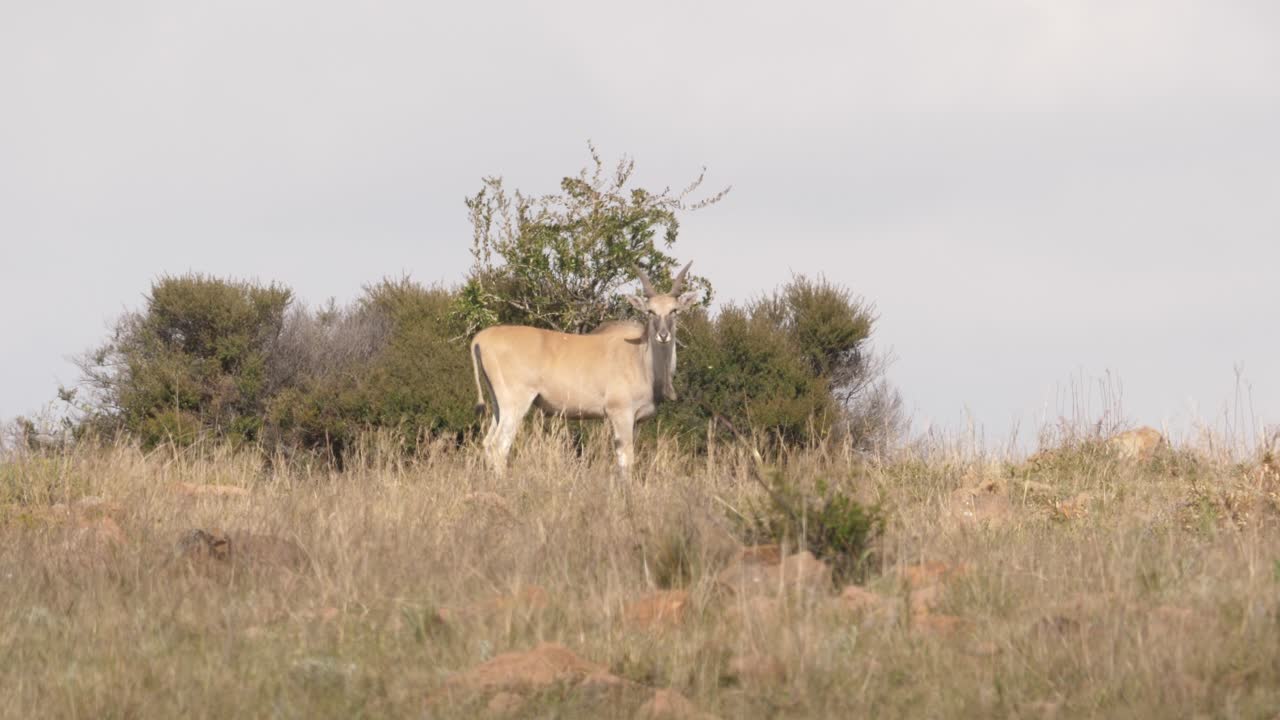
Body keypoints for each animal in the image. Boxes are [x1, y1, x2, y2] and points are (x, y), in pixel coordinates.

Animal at [470, 262, 700, 476]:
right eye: (651, 311)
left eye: (674, 311)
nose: (663, 335)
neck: (641, 358)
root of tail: (481, 338)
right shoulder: (620, 414)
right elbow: (626, 460)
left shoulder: (634, 421)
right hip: (515, 403)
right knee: (499, 446)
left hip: (499, 404)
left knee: (488, 443)